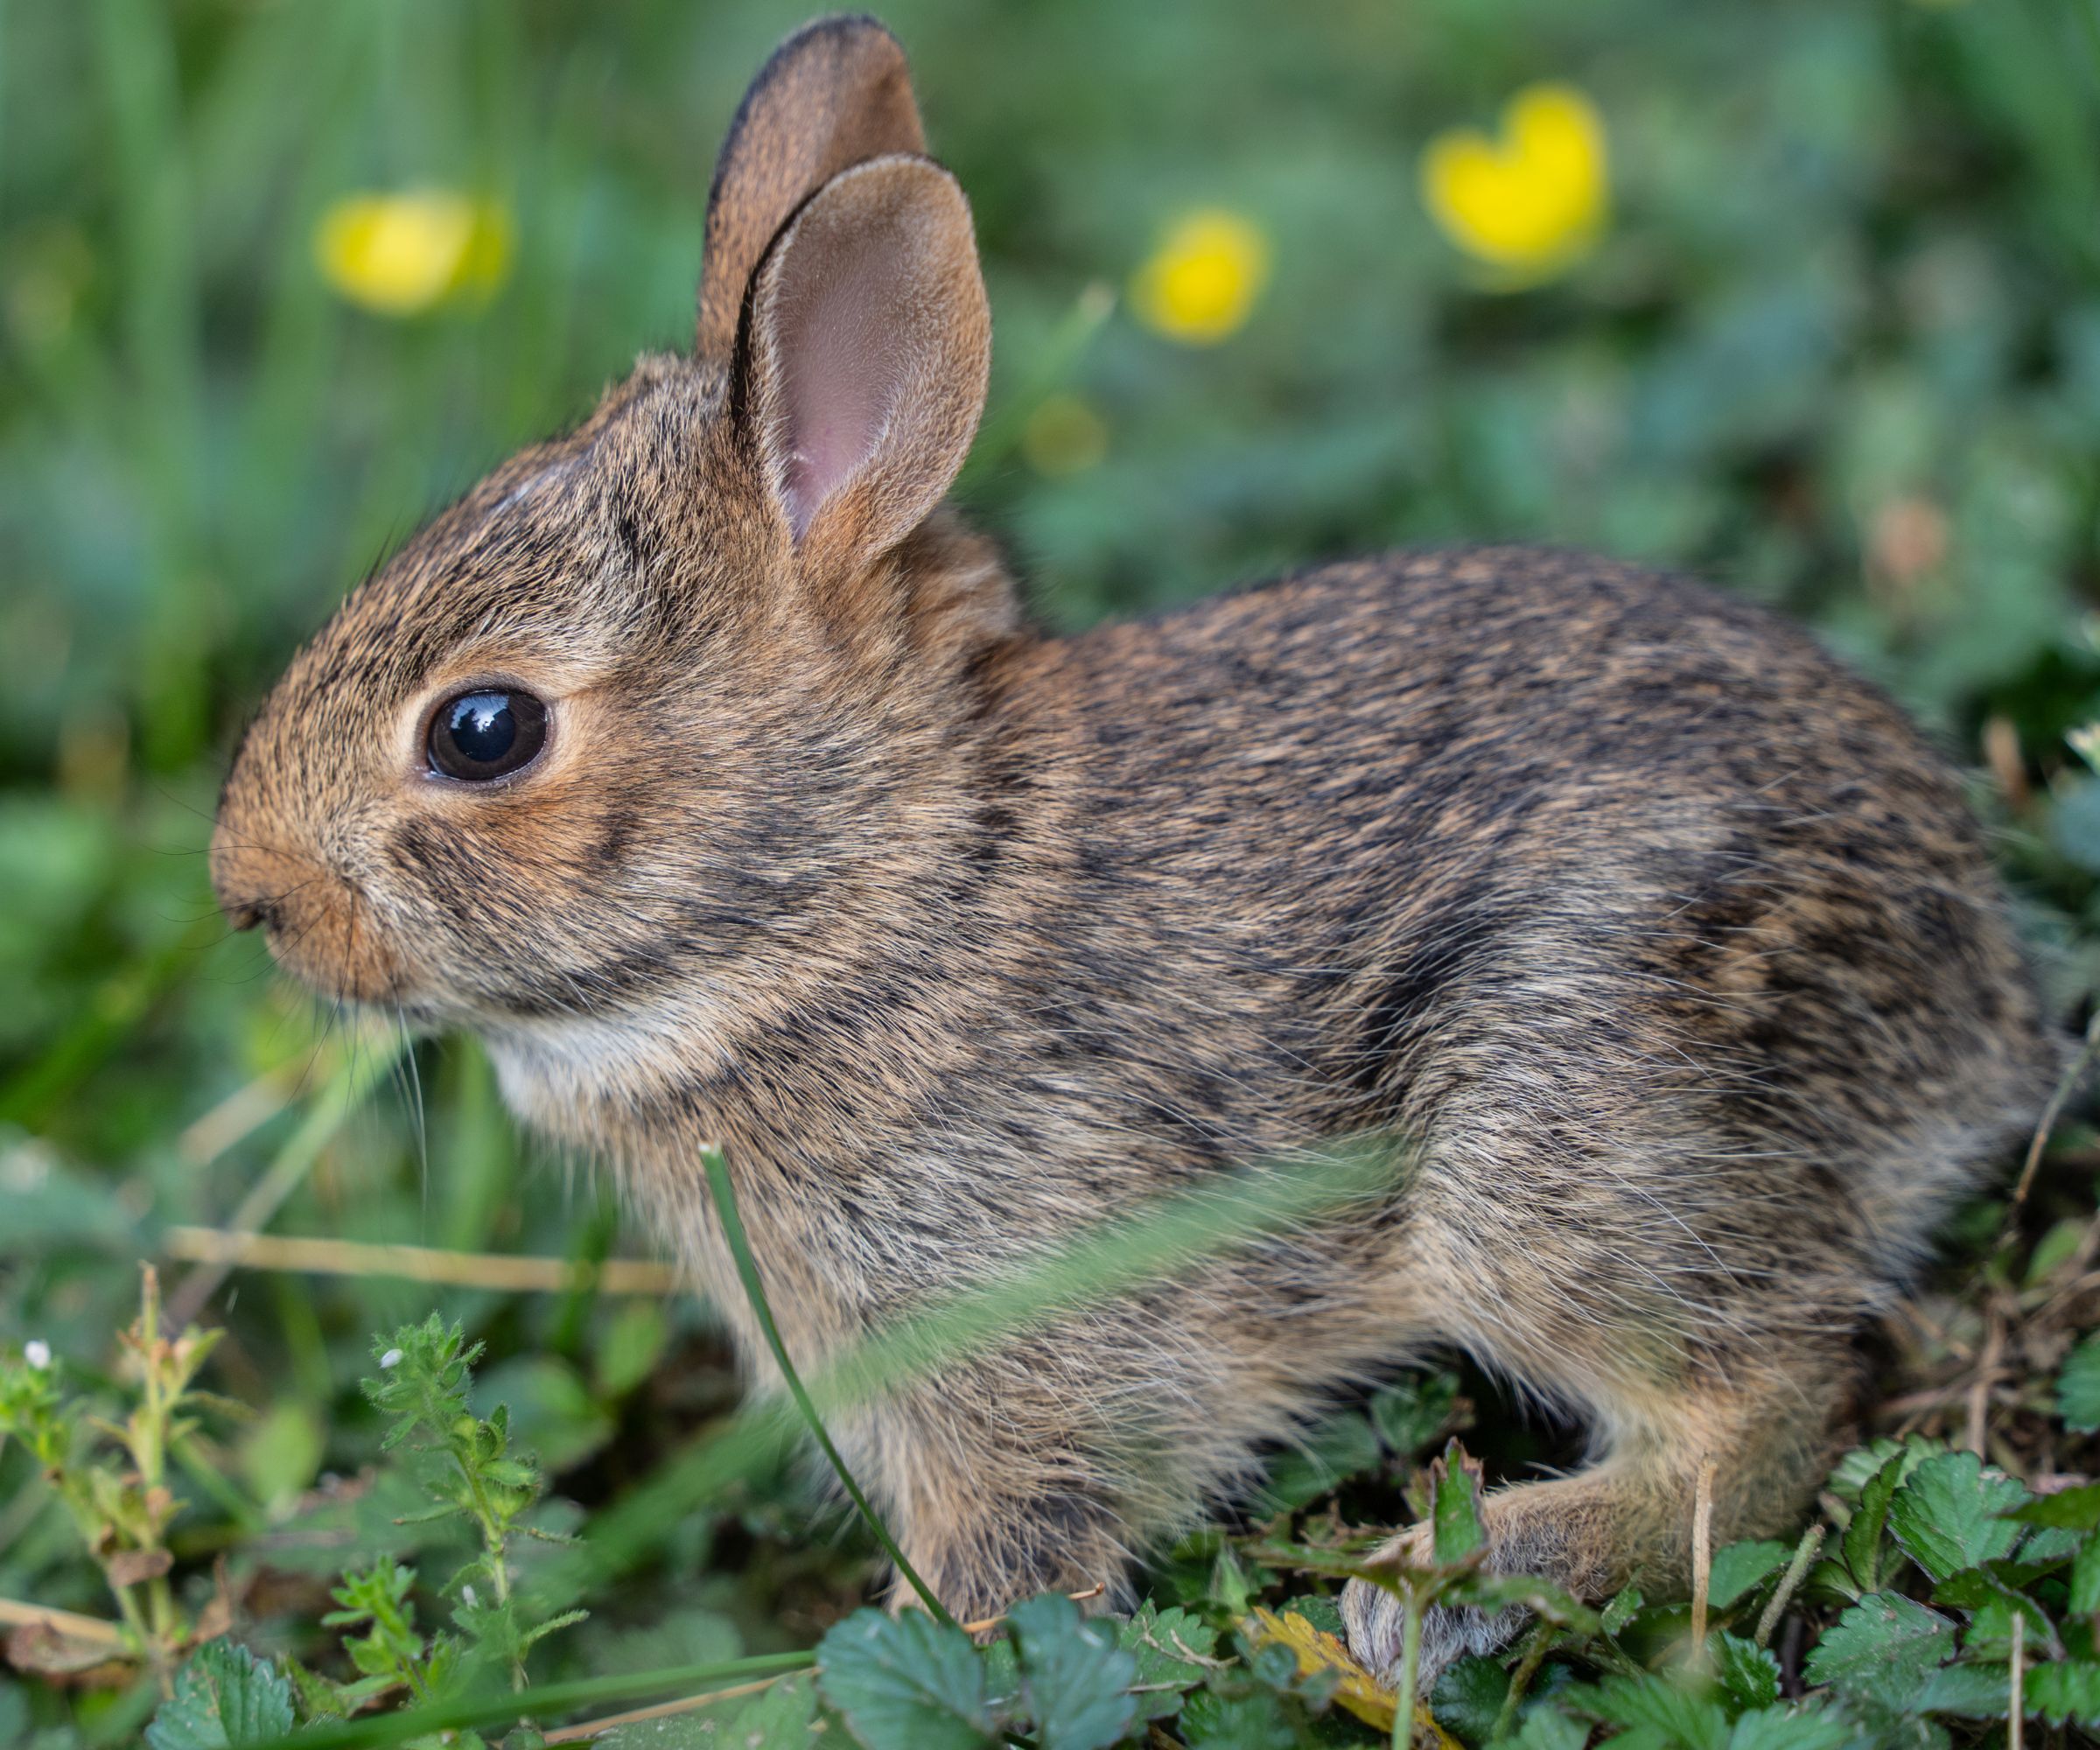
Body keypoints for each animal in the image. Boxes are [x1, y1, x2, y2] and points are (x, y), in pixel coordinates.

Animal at [213, 13, 2060, 1690]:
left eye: (484, 731)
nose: (251, 901)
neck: (866, 898)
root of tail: (1986, 1004)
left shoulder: (1015, 1361)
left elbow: (1002, 1577)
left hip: (1557, 1125)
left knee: (1769, 1408)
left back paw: (1450, 1581)